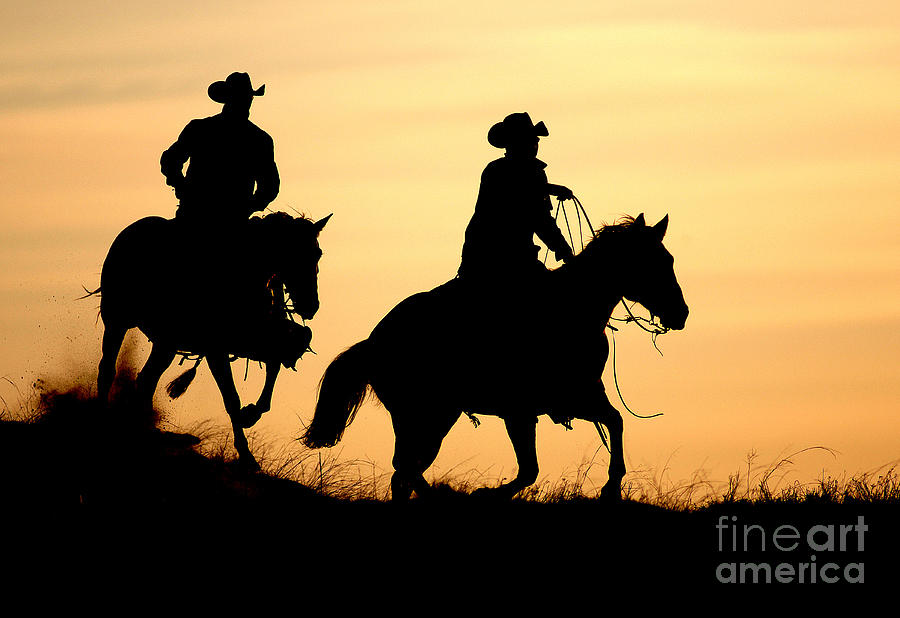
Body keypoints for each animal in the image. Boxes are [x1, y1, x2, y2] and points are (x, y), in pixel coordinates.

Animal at [98, 212, 330, 466]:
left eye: (318, 253)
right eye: (293, 252)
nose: (311, 305)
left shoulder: (259, 340)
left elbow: (273, 370)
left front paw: (250, 415)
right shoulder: (215, 349)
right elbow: (231, 398)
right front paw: (246, 454)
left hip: (165, 343)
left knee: (147, 379)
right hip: (117, 320)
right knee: (109, 369)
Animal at [302, 214, 688, 498]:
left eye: (669, 259)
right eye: (653, 261)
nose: (681, 313)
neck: (573, 307)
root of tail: (374, 341)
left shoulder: (572, 398)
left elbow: (614, 422)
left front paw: (612, 485)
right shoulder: (530, 408)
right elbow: (530, 469)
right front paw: (488, 494)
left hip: (434, 417)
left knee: (405, 471)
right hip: (423, 415)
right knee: (405, 470)